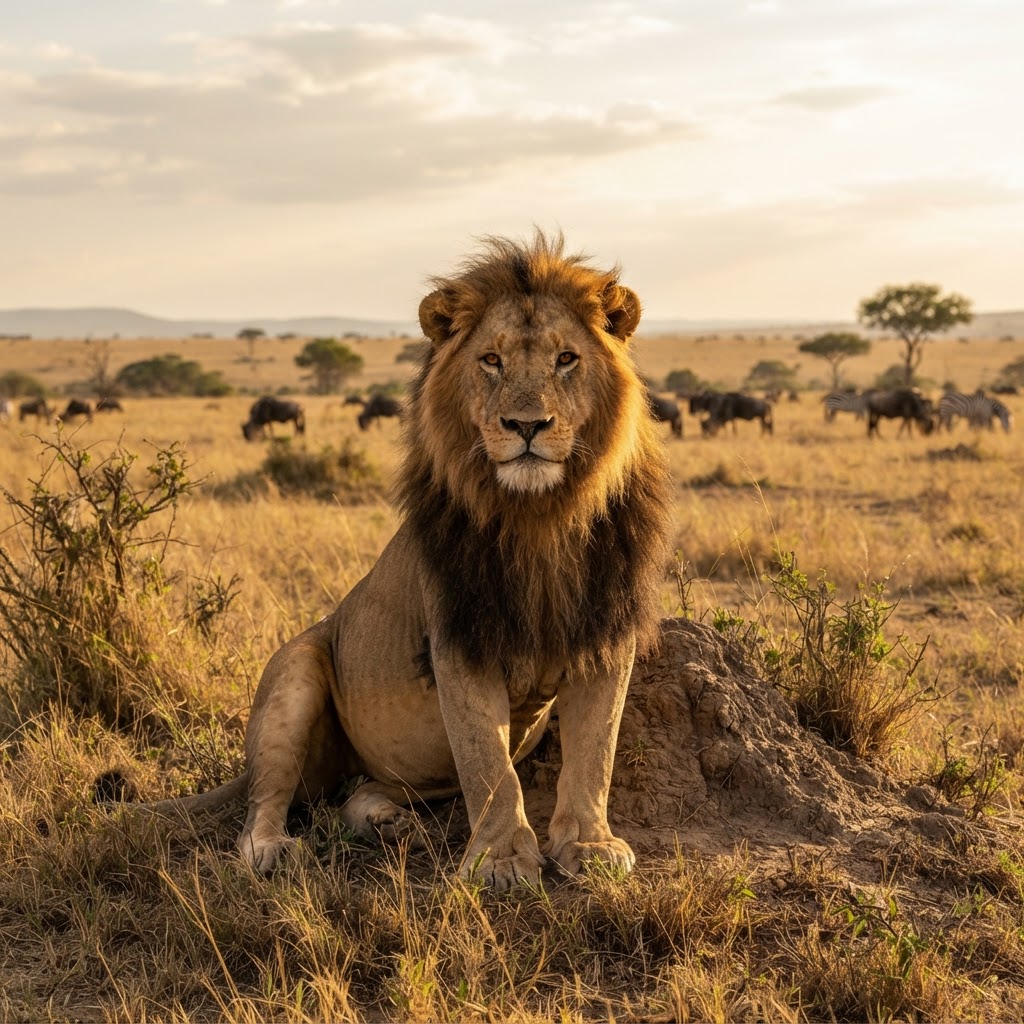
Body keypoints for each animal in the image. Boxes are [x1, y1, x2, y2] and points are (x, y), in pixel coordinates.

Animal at [146, 232, 673, 890]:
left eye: (566, 359)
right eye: (491, 360)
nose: (526, 424)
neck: (541, 517)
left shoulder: (605, 631)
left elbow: (594, 751)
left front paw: (591, 846)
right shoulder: (458, 640)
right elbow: (488, 764)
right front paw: (502, 861)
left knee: (356, 794)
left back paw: (388, 823)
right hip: (295, 672)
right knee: (263, 801)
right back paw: (274, 849)